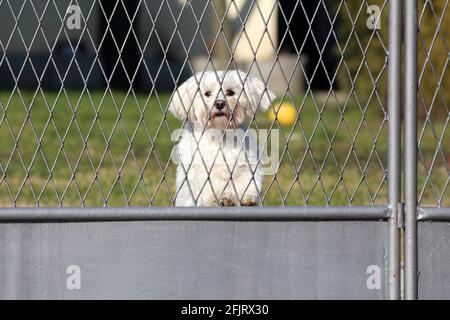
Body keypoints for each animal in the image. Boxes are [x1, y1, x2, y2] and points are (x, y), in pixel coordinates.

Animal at [169, 70, 274, 206]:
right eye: (207, 93)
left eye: (230, 92)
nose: (219, 103)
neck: (221, 135)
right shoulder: (201, 170)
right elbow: (211, 184)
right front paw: (220, 198)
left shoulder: (247, 164)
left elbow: (248, 181)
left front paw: (246, 197)